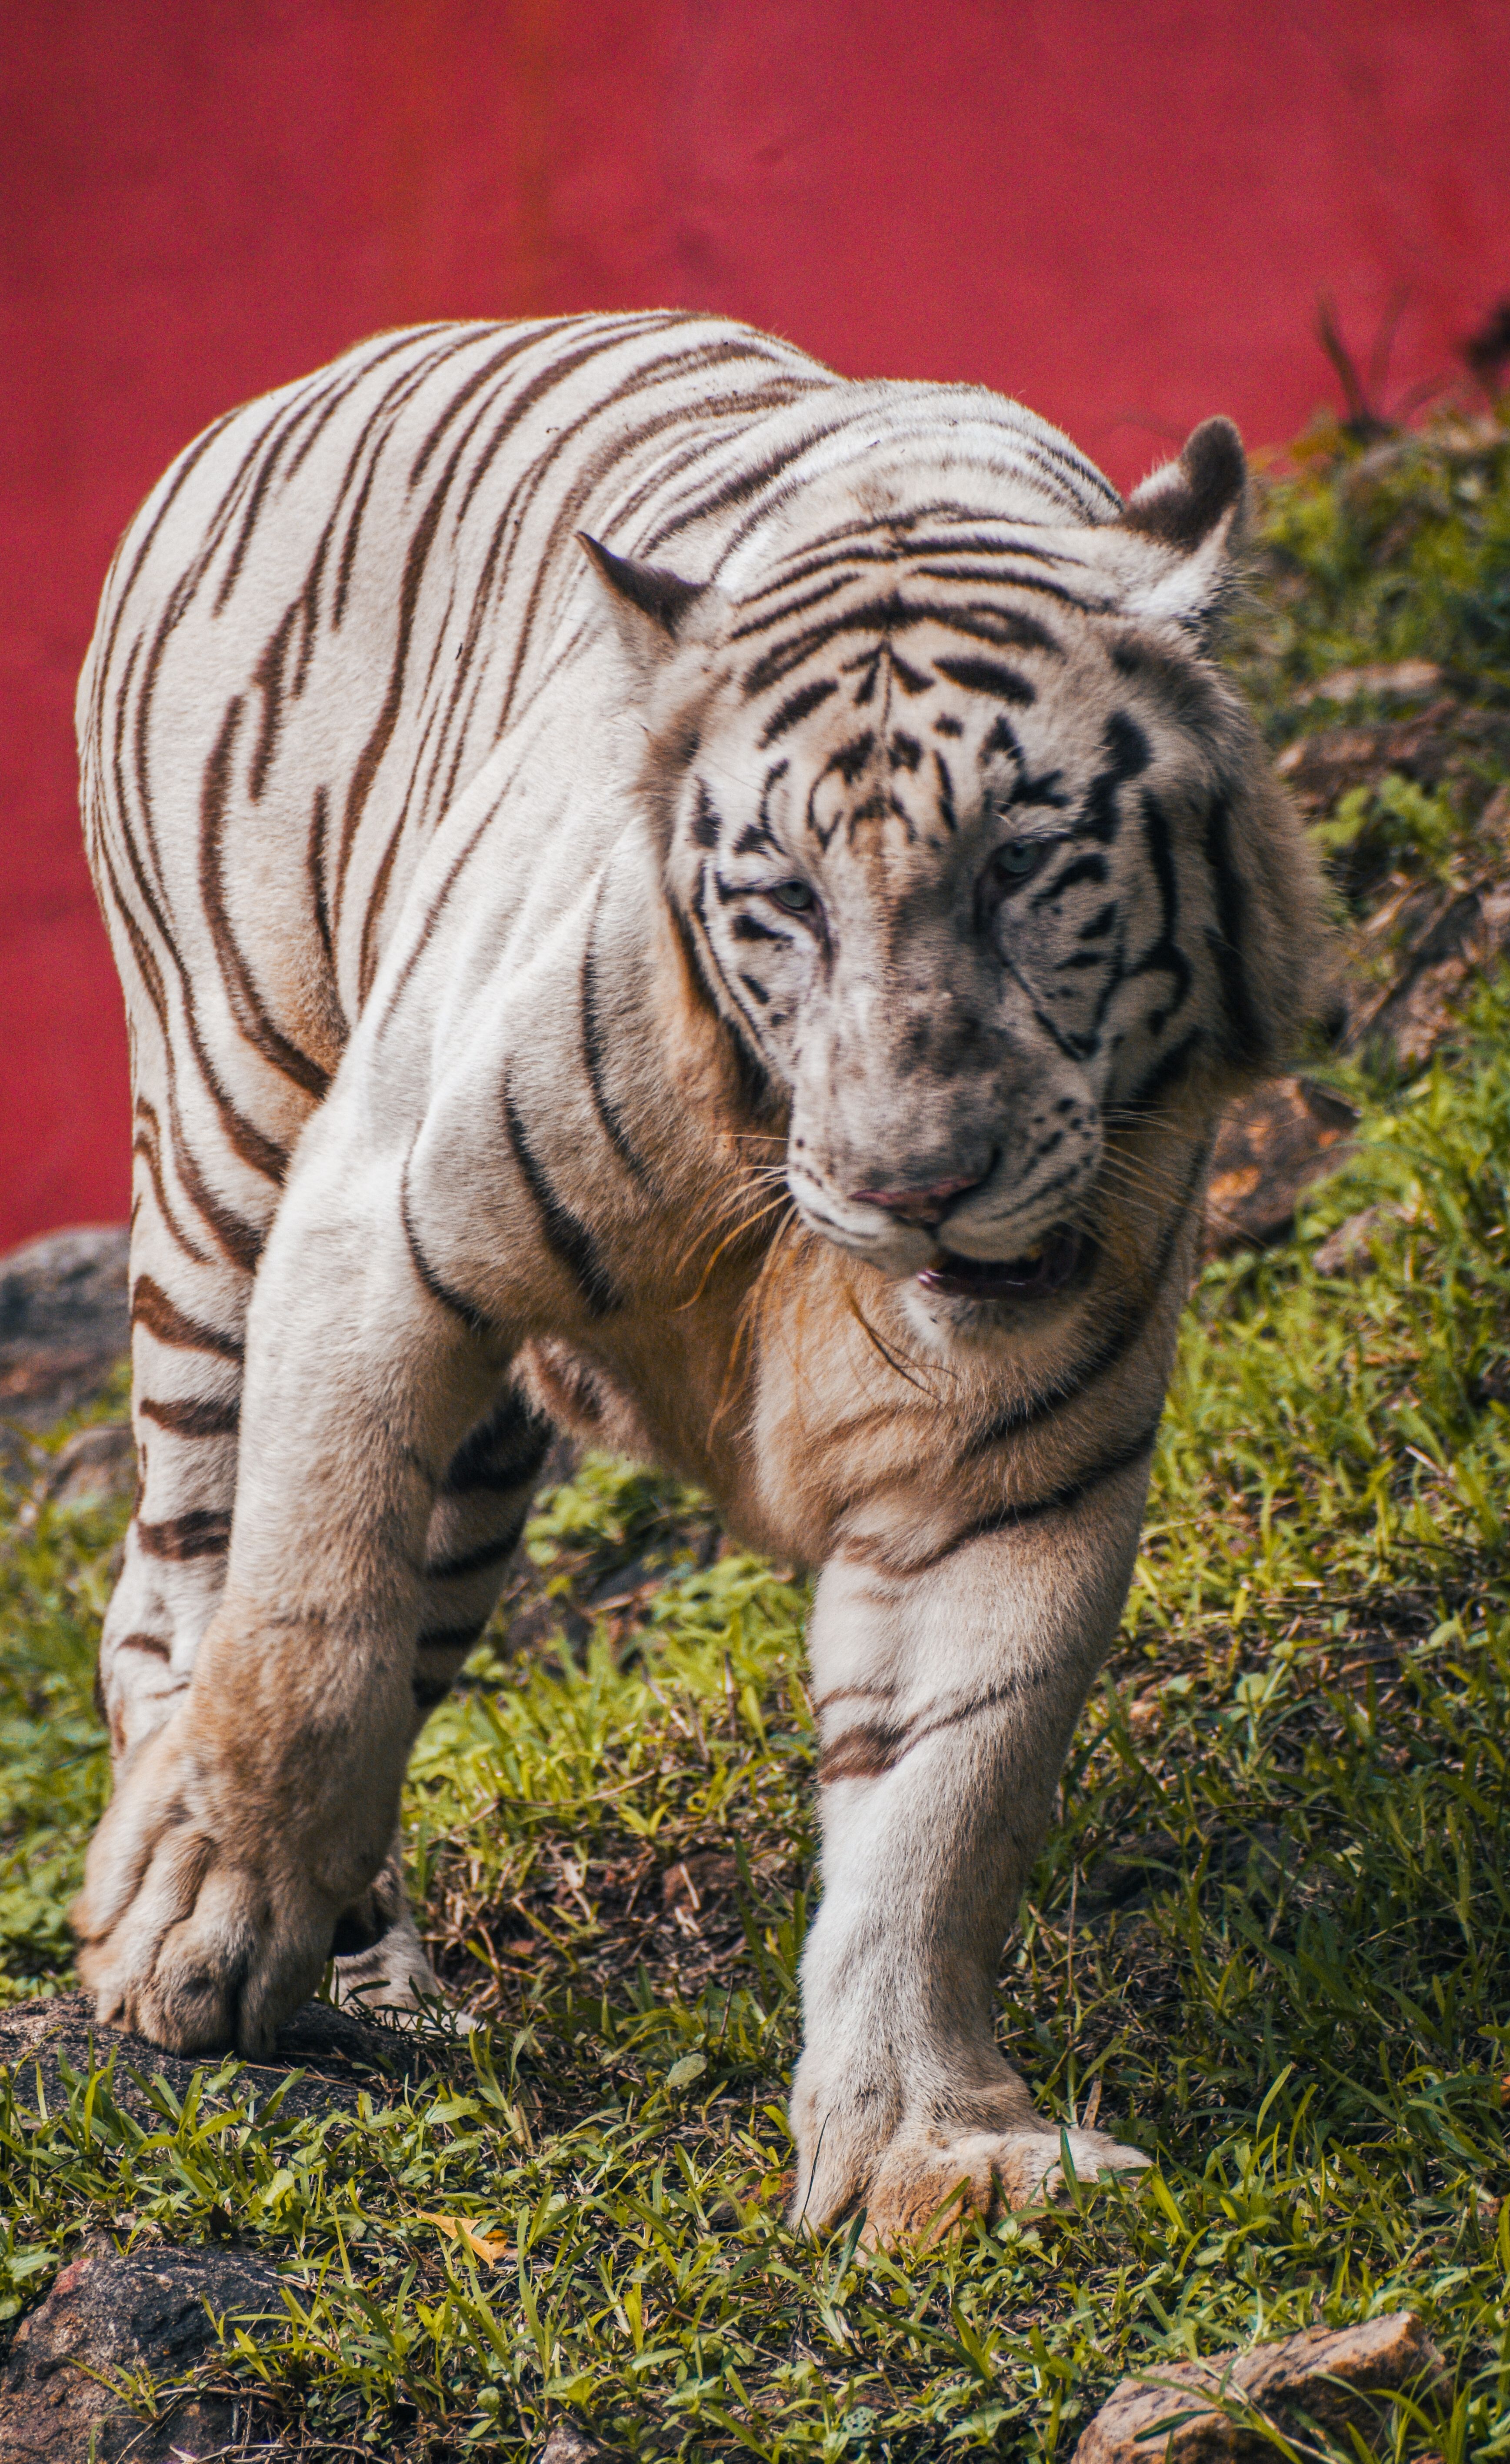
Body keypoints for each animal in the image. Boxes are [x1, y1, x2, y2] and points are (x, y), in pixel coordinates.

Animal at [72, 312, 1324, 2242]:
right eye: (780, 901)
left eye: (1023, 864)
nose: (911, 1187)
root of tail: (269, 398)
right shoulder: (376, 1213)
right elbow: (305, 1622)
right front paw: (195, 1927)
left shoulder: (1009, 1465)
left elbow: (942, 1805)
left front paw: (928, 2151)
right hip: (226, 1155)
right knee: (180, 1572)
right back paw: (196, 1883)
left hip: (478, 1474)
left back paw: (365, 1964)